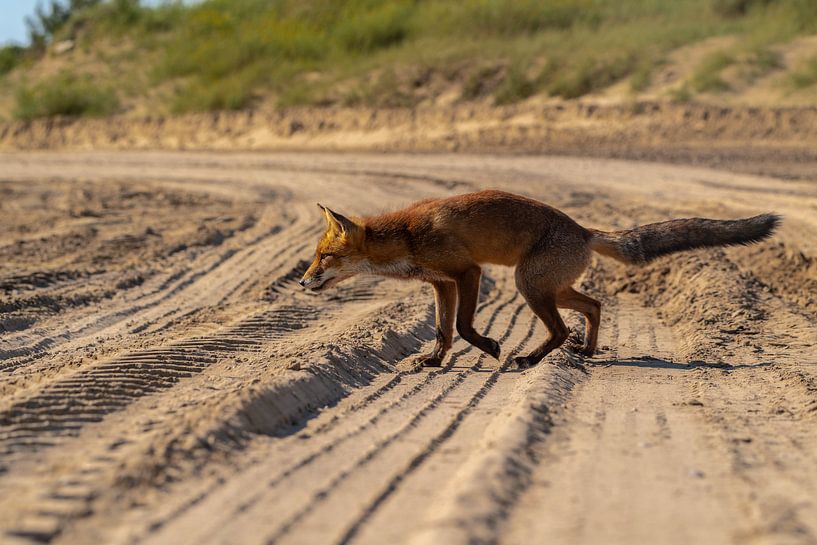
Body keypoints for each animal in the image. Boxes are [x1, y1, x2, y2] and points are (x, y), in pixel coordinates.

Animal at [300, 190, 779, 369]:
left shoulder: (467, 272)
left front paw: (491, 348)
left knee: (563, 326)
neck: (407, 238)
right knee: (594, 306)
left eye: (324, 257)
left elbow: (463, 327)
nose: (302, 283)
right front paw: (434, 361)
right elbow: (442, 330)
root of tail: (583, 230)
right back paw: (585, 351)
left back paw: (530, 359)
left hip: (527, 286)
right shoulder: (441, 284)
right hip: (551, 287)